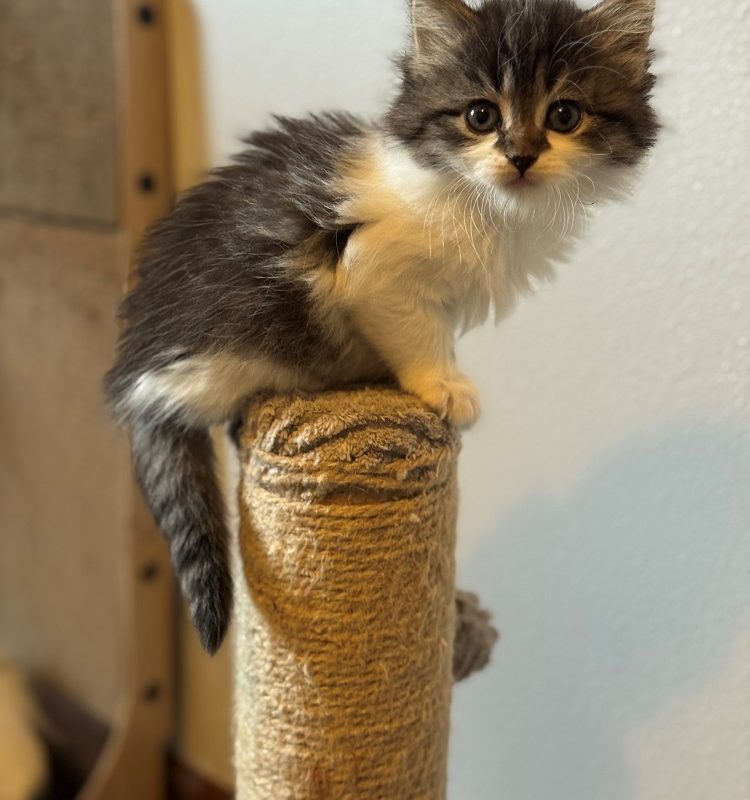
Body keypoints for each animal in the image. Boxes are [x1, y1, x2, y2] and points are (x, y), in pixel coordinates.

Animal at [106, 0, 659, 654]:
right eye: (481, 116)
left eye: (565, 115)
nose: (521, 156)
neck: (493, 211)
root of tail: (133, 375)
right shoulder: (372, 272)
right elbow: (419, 331)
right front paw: (444, 388)